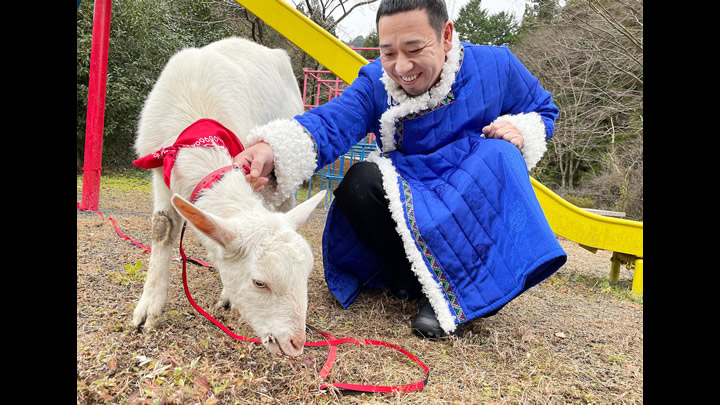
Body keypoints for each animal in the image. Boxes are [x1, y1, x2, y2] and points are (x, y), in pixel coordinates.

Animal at [132, 36, 326, 356]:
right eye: (259, 283)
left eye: (306, 275)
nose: (296, 344)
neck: (195, 131)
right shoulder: (159, 168)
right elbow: (162, 228)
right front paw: (148, 309)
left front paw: (227, 296)